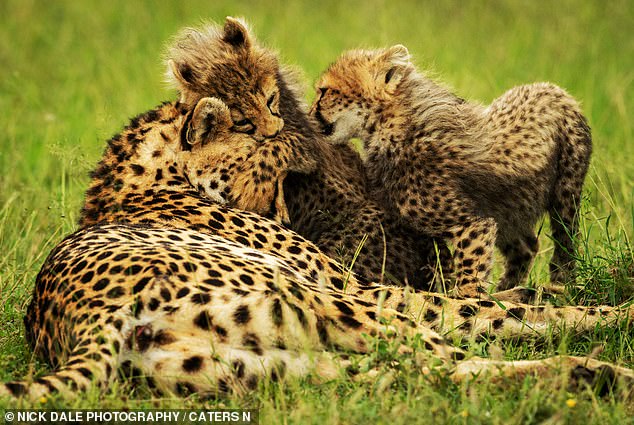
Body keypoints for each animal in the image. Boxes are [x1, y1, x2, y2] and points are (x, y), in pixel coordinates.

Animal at [312, 43, 592, 294]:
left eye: (325, 91)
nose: (310, 111)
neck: (389, 127)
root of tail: (553, 89)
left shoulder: (471, 223)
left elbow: (469, 272)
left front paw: (468, 305)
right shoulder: (417, 229)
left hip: (565, 194)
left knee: (565, 244)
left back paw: (560, 285)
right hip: (507, 209)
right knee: (527, 246)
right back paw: (507, 289)